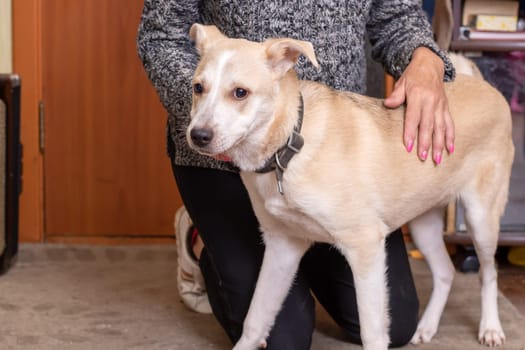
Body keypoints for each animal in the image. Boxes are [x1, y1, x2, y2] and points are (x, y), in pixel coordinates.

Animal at [184, 24, 512, 350]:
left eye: (240, 93)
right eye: (197, 88)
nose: (197, 136)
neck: (289, 145)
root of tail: (484, 85)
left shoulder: (365, 246)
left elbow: (372, 331)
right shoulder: (282, 247)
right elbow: (254, 321)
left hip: (480, 218)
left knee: (488, 273)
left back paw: (491, 328)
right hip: (424, 223)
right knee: (445, 272)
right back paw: (427, 327)